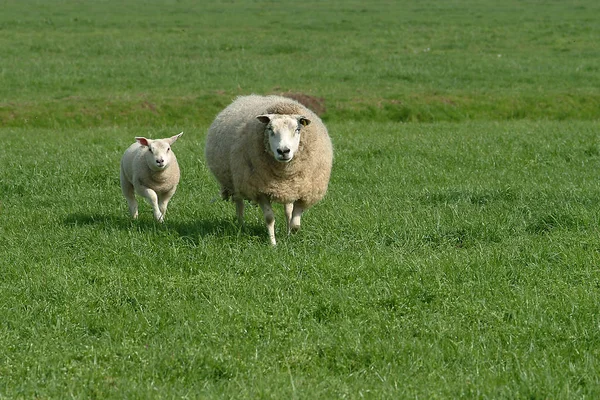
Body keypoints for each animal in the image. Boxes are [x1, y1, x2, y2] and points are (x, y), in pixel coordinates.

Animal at [204, 95, 330, 245]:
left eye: (297, 130)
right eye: (270, 129)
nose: (283, 151)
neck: (284, 172)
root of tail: (245, 97)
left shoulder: (304, 191)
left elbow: (295, 224)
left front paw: (290, 237)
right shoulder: (260, 190)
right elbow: (269, 218)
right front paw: (273, 244)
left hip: (288, 188)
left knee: (288, 210)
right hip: (237, 181)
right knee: (239, 205)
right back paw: (241, 227)